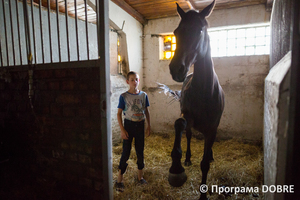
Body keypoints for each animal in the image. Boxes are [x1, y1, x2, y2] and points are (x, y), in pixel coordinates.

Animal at [168, 0, 224, 199]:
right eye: (176, 31)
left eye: (199, 31)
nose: (176, 69)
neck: (205, 92)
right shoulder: (187, 116)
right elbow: (179, 124)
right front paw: (176, 168)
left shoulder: (212, 128)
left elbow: (205, 163)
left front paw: (203, 194)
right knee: (189, 135)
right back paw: (187, 159)